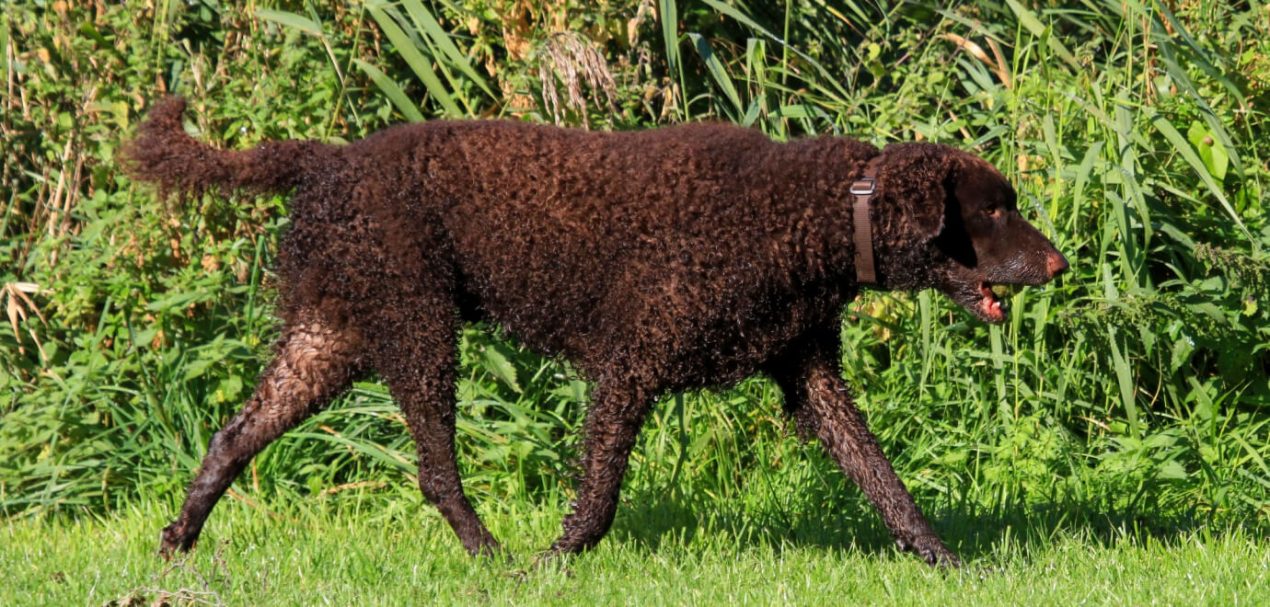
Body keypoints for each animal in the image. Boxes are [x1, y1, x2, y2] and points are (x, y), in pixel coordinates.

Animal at [126, 97, 1061, 566]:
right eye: (994, 209)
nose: (1056, 262)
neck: (806, 216)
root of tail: (327, 159)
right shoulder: (630, 366)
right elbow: (600, 495)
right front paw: (557, 562)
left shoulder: (809, 375)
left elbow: (883, 480)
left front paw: (947, 561)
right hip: (418, 329)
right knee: (435, 469)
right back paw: (493, 559)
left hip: (328, 339)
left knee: (232, 436)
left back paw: (177, 542)